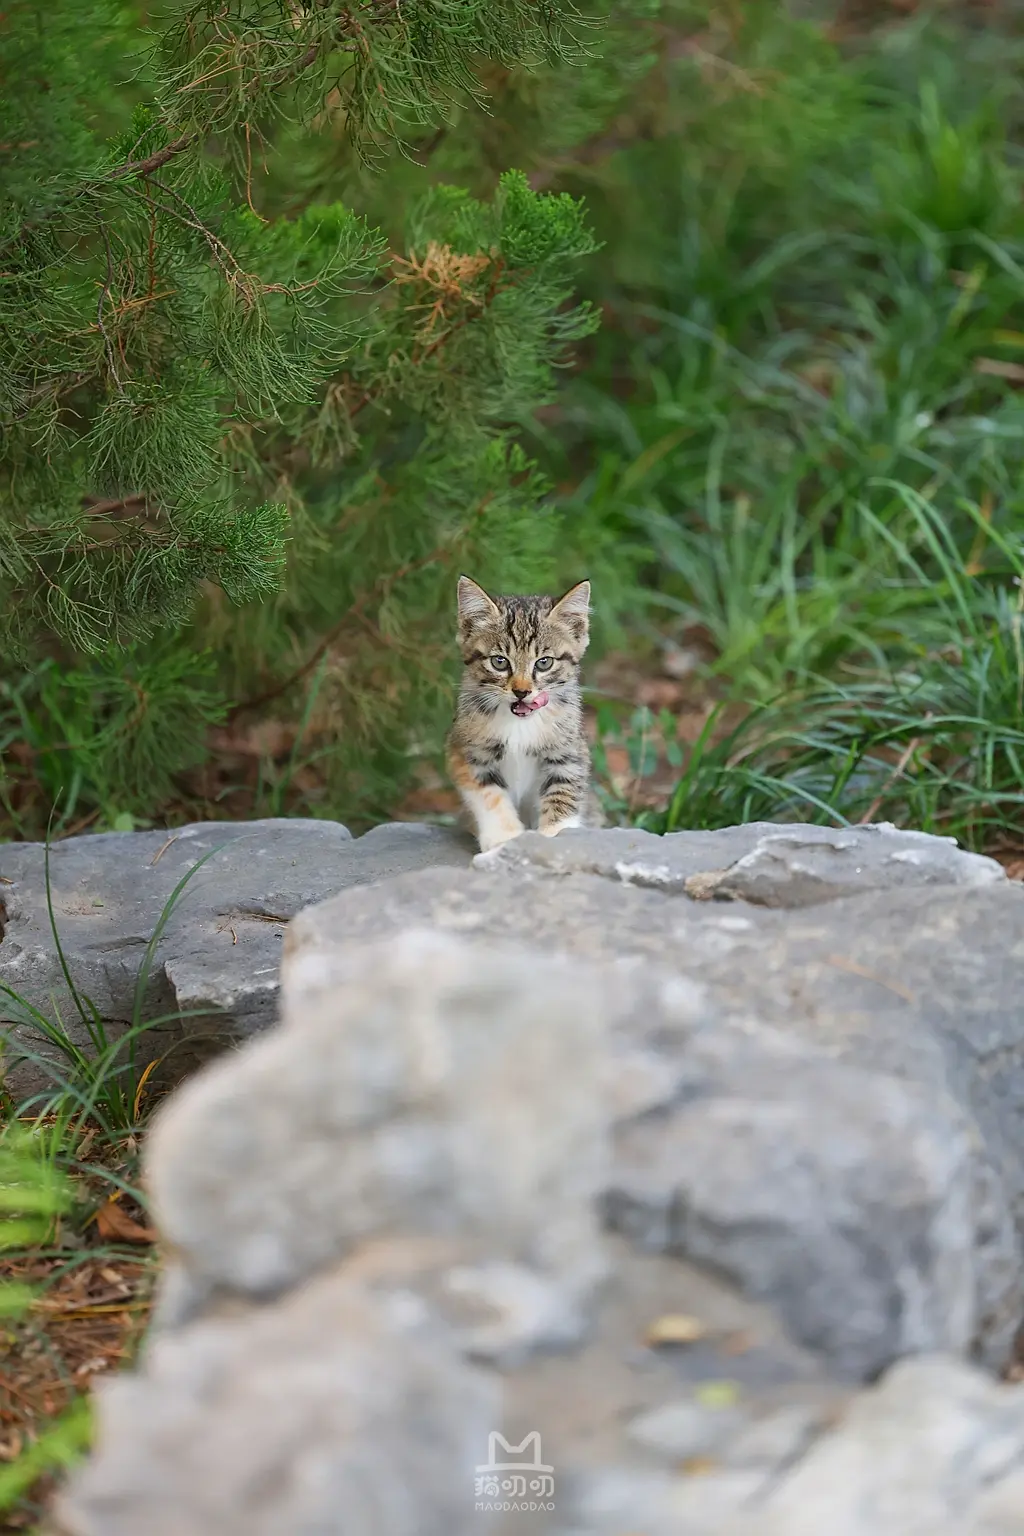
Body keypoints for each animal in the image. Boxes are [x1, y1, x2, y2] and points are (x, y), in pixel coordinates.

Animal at [445, 574, 595, 854]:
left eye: (544, 662)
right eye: (499, 662)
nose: (522, 691)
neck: (520, 723)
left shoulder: (569, 750)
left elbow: (564, 790)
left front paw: (553, 835)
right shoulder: (467, 751)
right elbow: (487, 793)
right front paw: (503, 838)